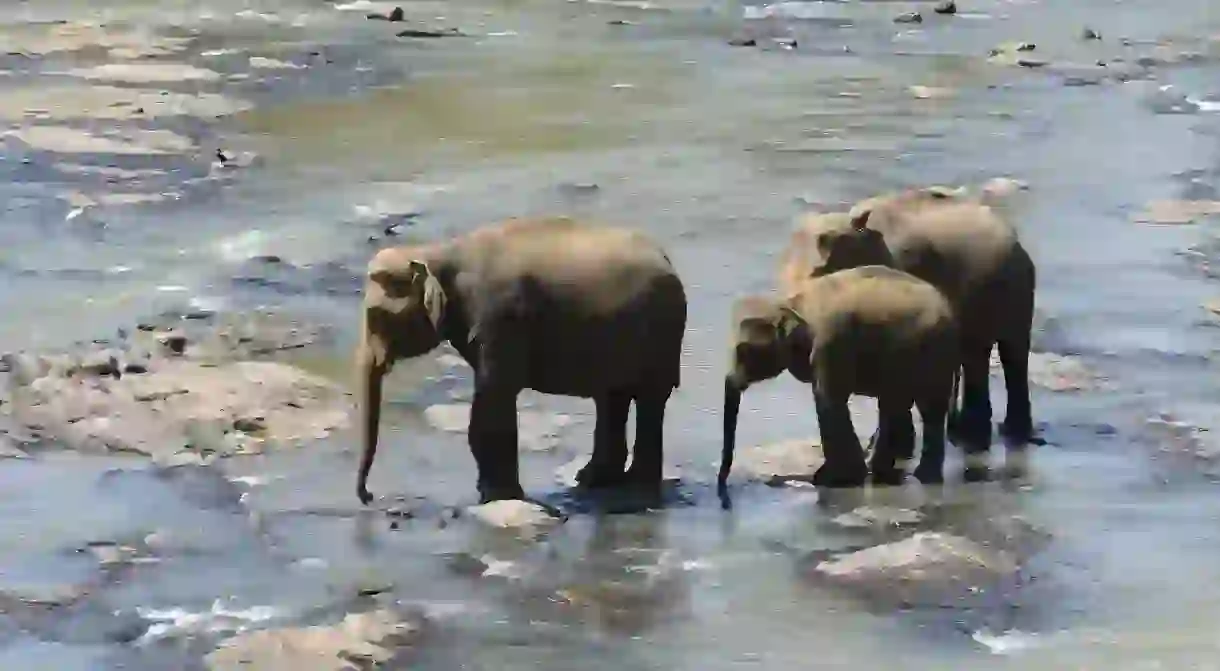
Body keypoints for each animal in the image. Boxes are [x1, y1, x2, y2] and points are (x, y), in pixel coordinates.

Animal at [356, 215, 692, 505]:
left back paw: (635, 485)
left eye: (376, 316)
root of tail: (668, 260)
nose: (370, 496)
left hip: (662, 333)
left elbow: (495, 395)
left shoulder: (500, 319)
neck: (438, 252)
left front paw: (498, 495)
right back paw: (594, 480)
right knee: (613, 397)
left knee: (648, 399)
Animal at [717, 263, 956, 505]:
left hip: (930, 354)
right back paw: (891, 472)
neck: (792, 305)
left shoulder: (829, 343)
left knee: (921, 407)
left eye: (743, 350)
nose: (724, 493)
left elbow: (827, 399)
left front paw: (832, 479)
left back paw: (915, 476)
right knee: (906, 406)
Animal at [780, 187, 1039, 483]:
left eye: (819, 271)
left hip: (1015, 289)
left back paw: (995, 435)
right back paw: (974, 435)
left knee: (1010, 352)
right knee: (980, 355)